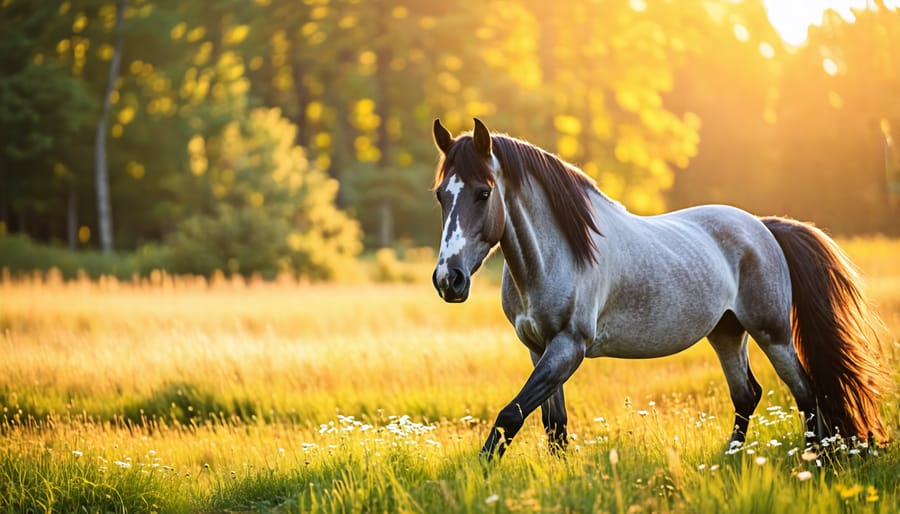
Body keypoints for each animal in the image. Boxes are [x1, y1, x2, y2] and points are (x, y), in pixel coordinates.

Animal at [432, 118, 888, 458]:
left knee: (806, 392)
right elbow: (553, 426)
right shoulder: (538, 347)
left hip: (772, 333)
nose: (447, 279)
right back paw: (731, 458)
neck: (554, 254)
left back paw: (814, 460)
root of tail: (762, 226)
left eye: (483, 192)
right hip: (726, 333)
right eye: (441, 195)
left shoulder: (568, 347)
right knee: (747, 395)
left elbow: (510, 416)